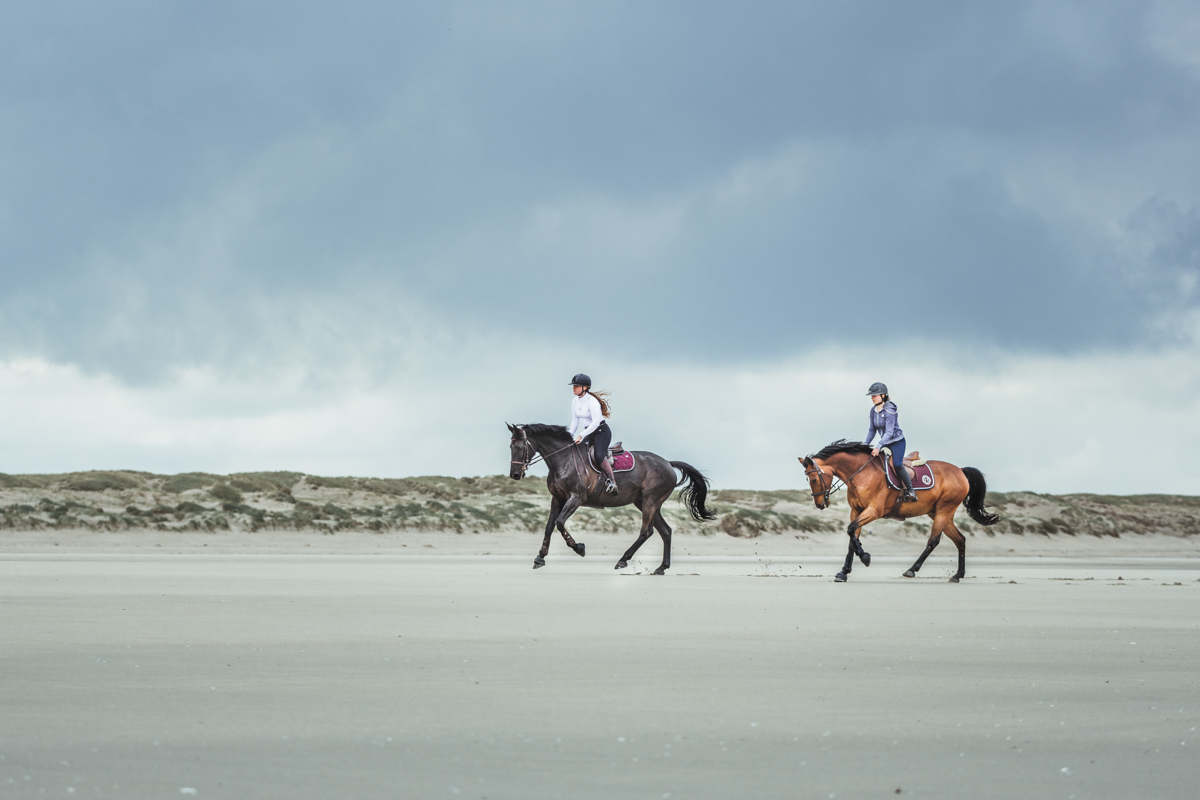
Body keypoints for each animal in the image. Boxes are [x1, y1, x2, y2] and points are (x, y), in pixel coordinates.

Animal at [504, 422, 710, 573]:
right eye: (510, 446)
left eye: (520, 447)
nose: (514, 474)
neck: (564, 460)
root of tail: (667, 463)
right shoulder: (557, 498)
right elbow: (549, 526)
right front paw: (540, 558)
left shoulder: (576, 498)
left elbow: (560, 523)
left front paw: (579, 548)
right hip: (646, 503)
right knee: (665, 531)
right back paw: (661, 568)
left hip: (650, 502)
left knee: (646, 531)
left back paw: (623, 560)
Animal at [801, 441, 998, 585]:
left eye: (813, 479)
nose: (819, 504)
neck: (862, 473)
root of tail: (960, 471)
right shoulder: (856, 511)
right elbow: (852, 538)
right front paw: (844, 572)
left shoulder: (874, 511)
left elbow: (850, 530)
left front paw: (865, 557)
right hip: (938, 513)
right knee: (960, 540)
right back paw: (958, 575)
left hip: (944, 510)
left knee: (933, 541)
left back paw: (912, 569)